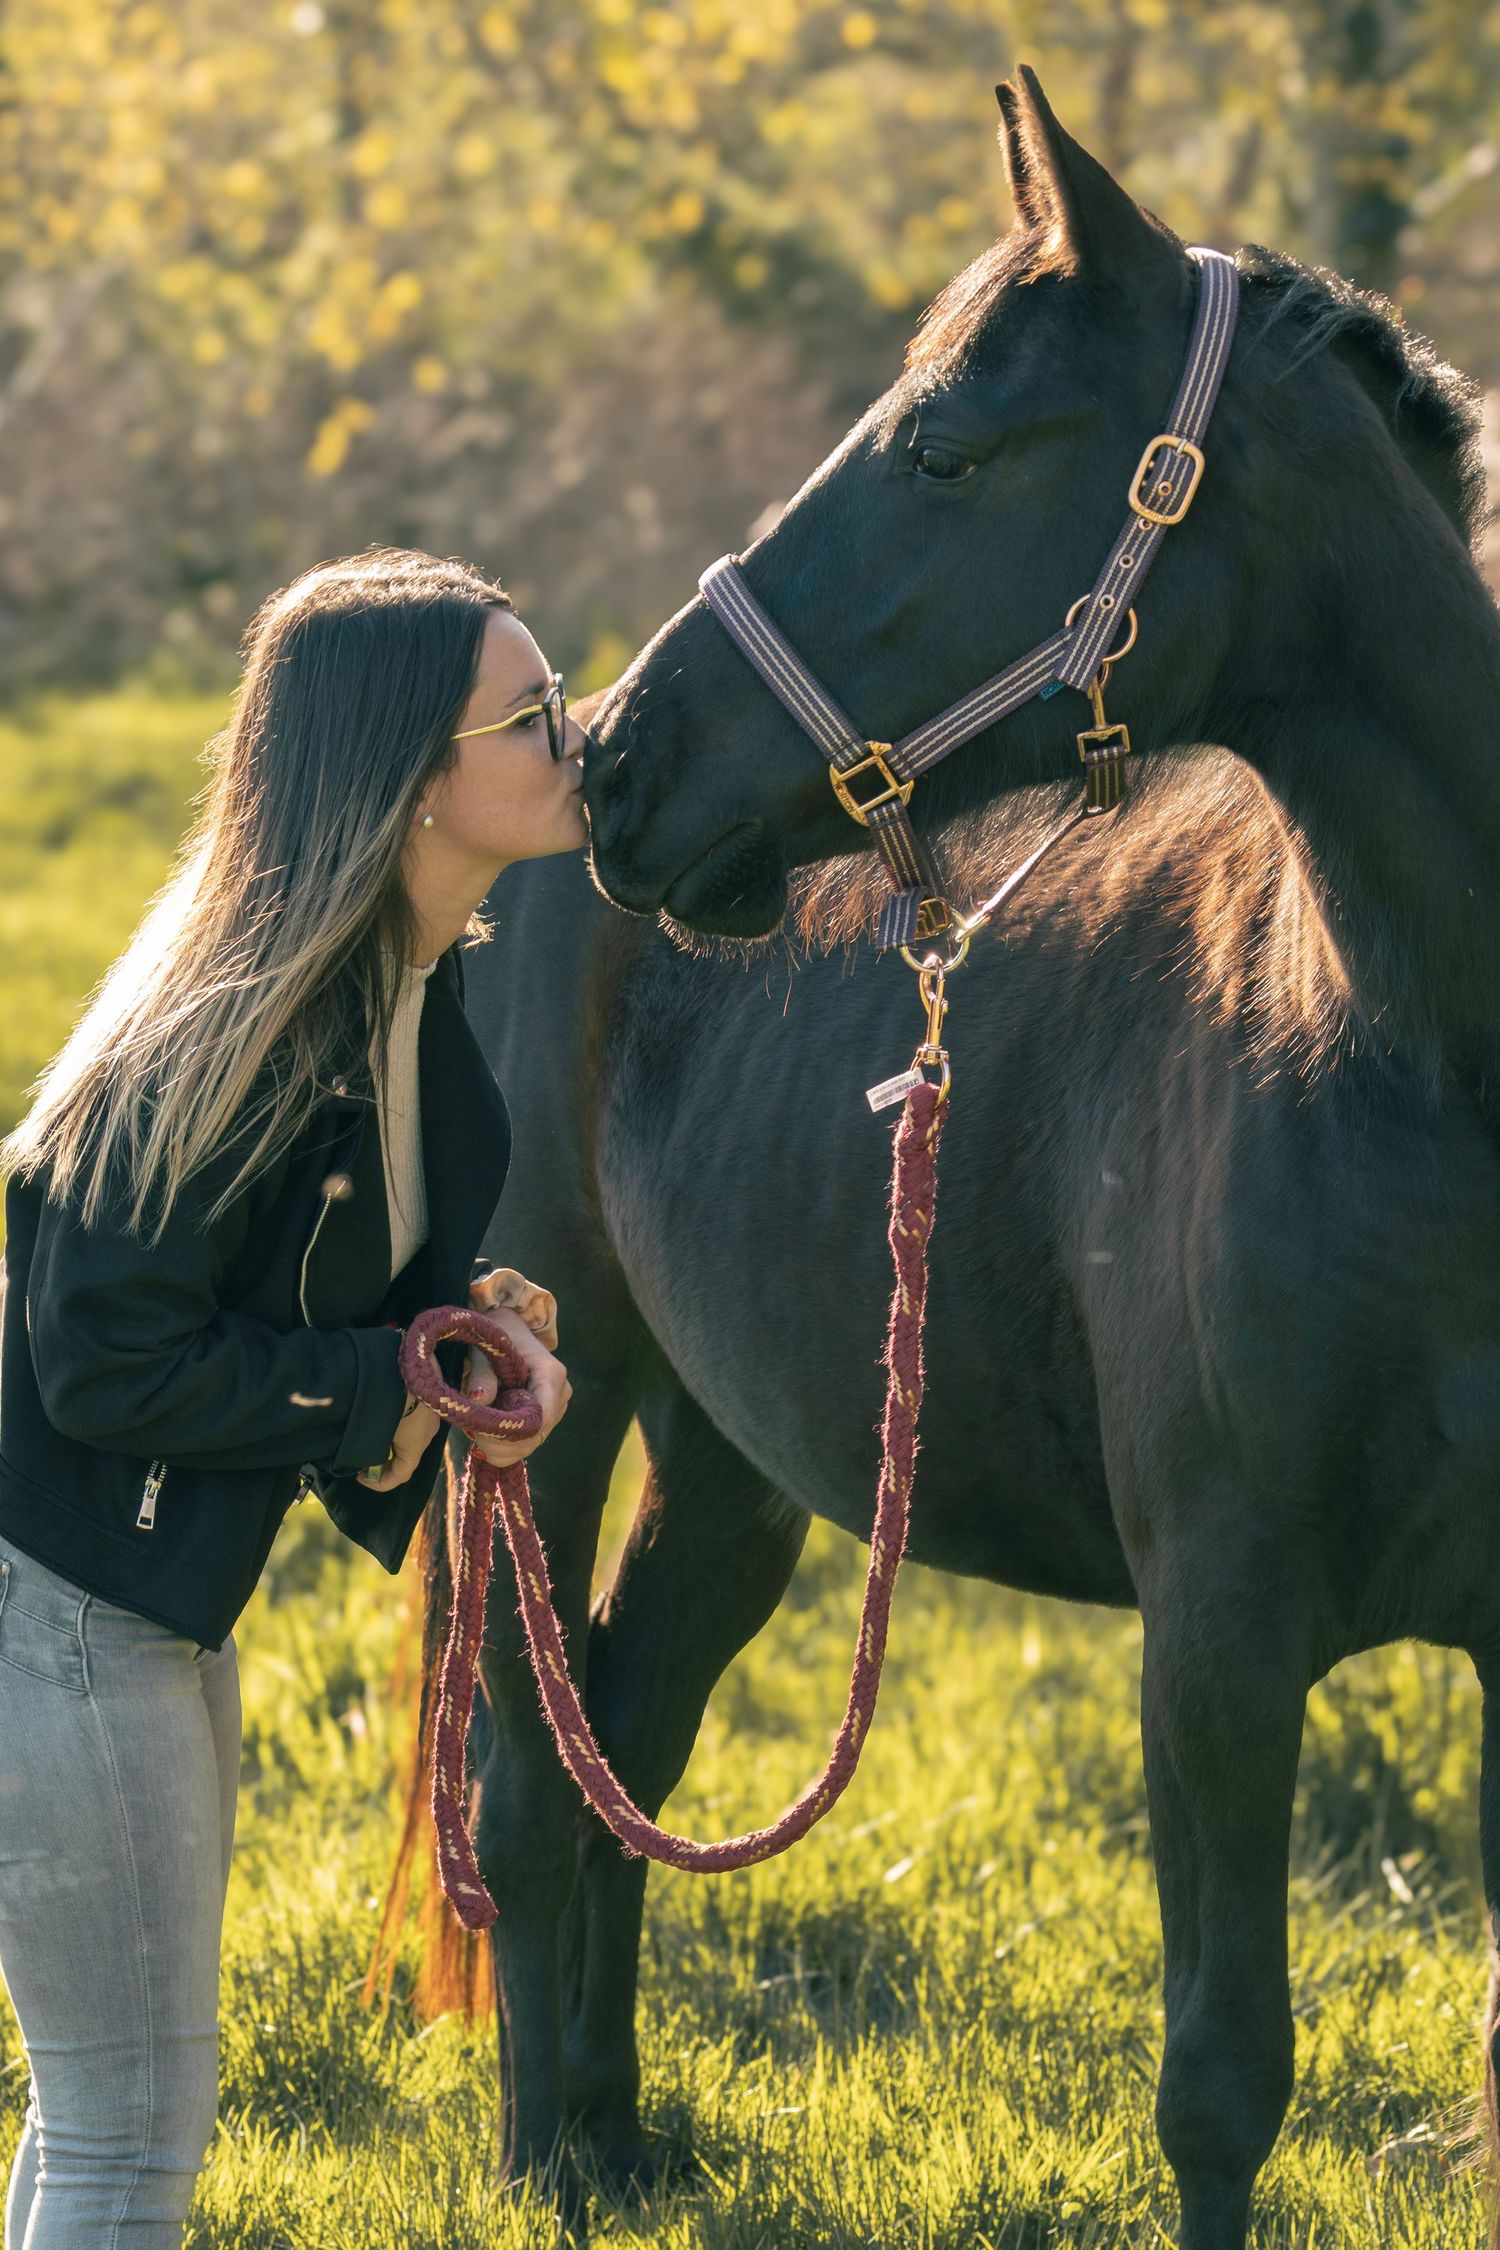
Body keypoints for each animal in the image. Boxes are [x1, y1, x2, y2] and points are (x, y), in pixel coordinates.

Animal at [388, 64, 1500, 2250]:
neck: (1415, 1065)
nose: (627, 764)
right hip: (553, 1405)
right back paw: (550, 2163)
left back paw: (614, 2135)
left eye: (943, 451)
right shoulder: (1218, 1639)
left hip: (738, 1459)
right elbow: (1221, 2083)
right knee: (532, 1787)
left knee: (627, 1745)